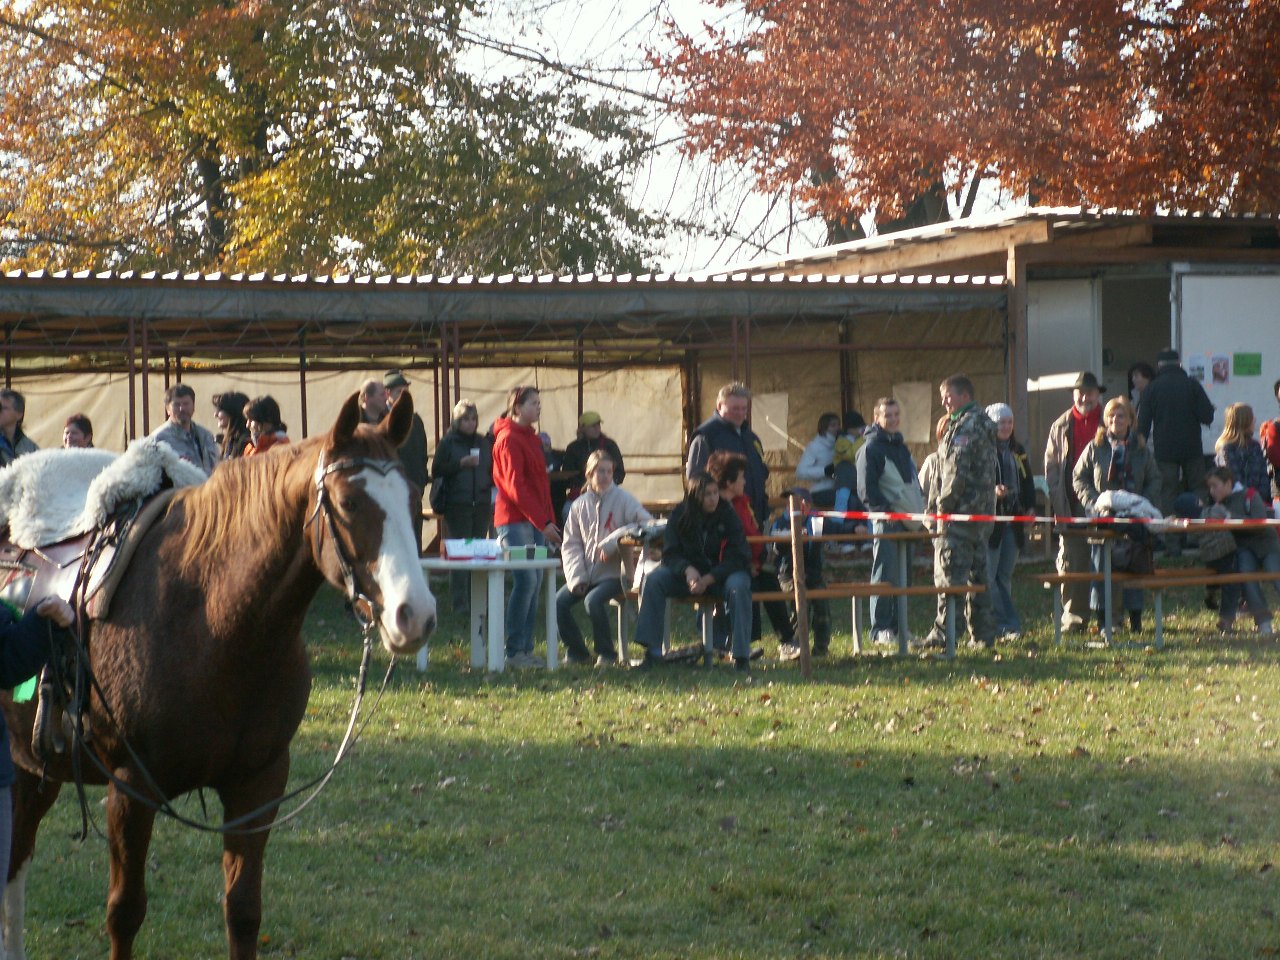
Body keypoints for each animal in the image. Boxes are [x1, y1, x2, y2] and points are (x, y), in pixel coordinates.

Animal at [0, 391, 435, 960]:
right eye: (348, 504)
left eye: (412, 497)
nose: (415, 615)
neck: (213, 617)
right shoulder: (131, 788)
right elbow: (124, 913)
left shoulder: (259, 785)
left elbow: (243, 912)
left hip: (34, 766)